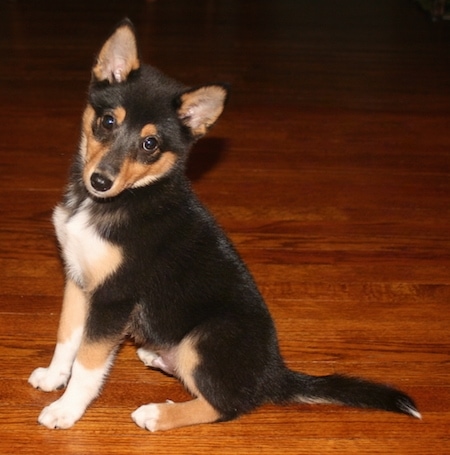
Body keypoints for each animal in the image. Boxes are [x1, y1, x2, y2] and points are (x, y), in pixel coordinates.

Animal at [28, 20, 422, 432]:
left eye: (150, 143)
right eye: (107, 121)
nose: (100, 181)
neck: (115, 202)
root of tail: (273, 375)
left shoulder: (114, 296)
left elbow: (88, 362)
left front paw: (66, 409)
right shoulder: (78, 279)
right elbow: (67, 336)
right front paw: (54, 377)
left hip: (206, 337)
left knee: (225, 405)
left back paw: (156, 413)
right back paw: (156, 358)